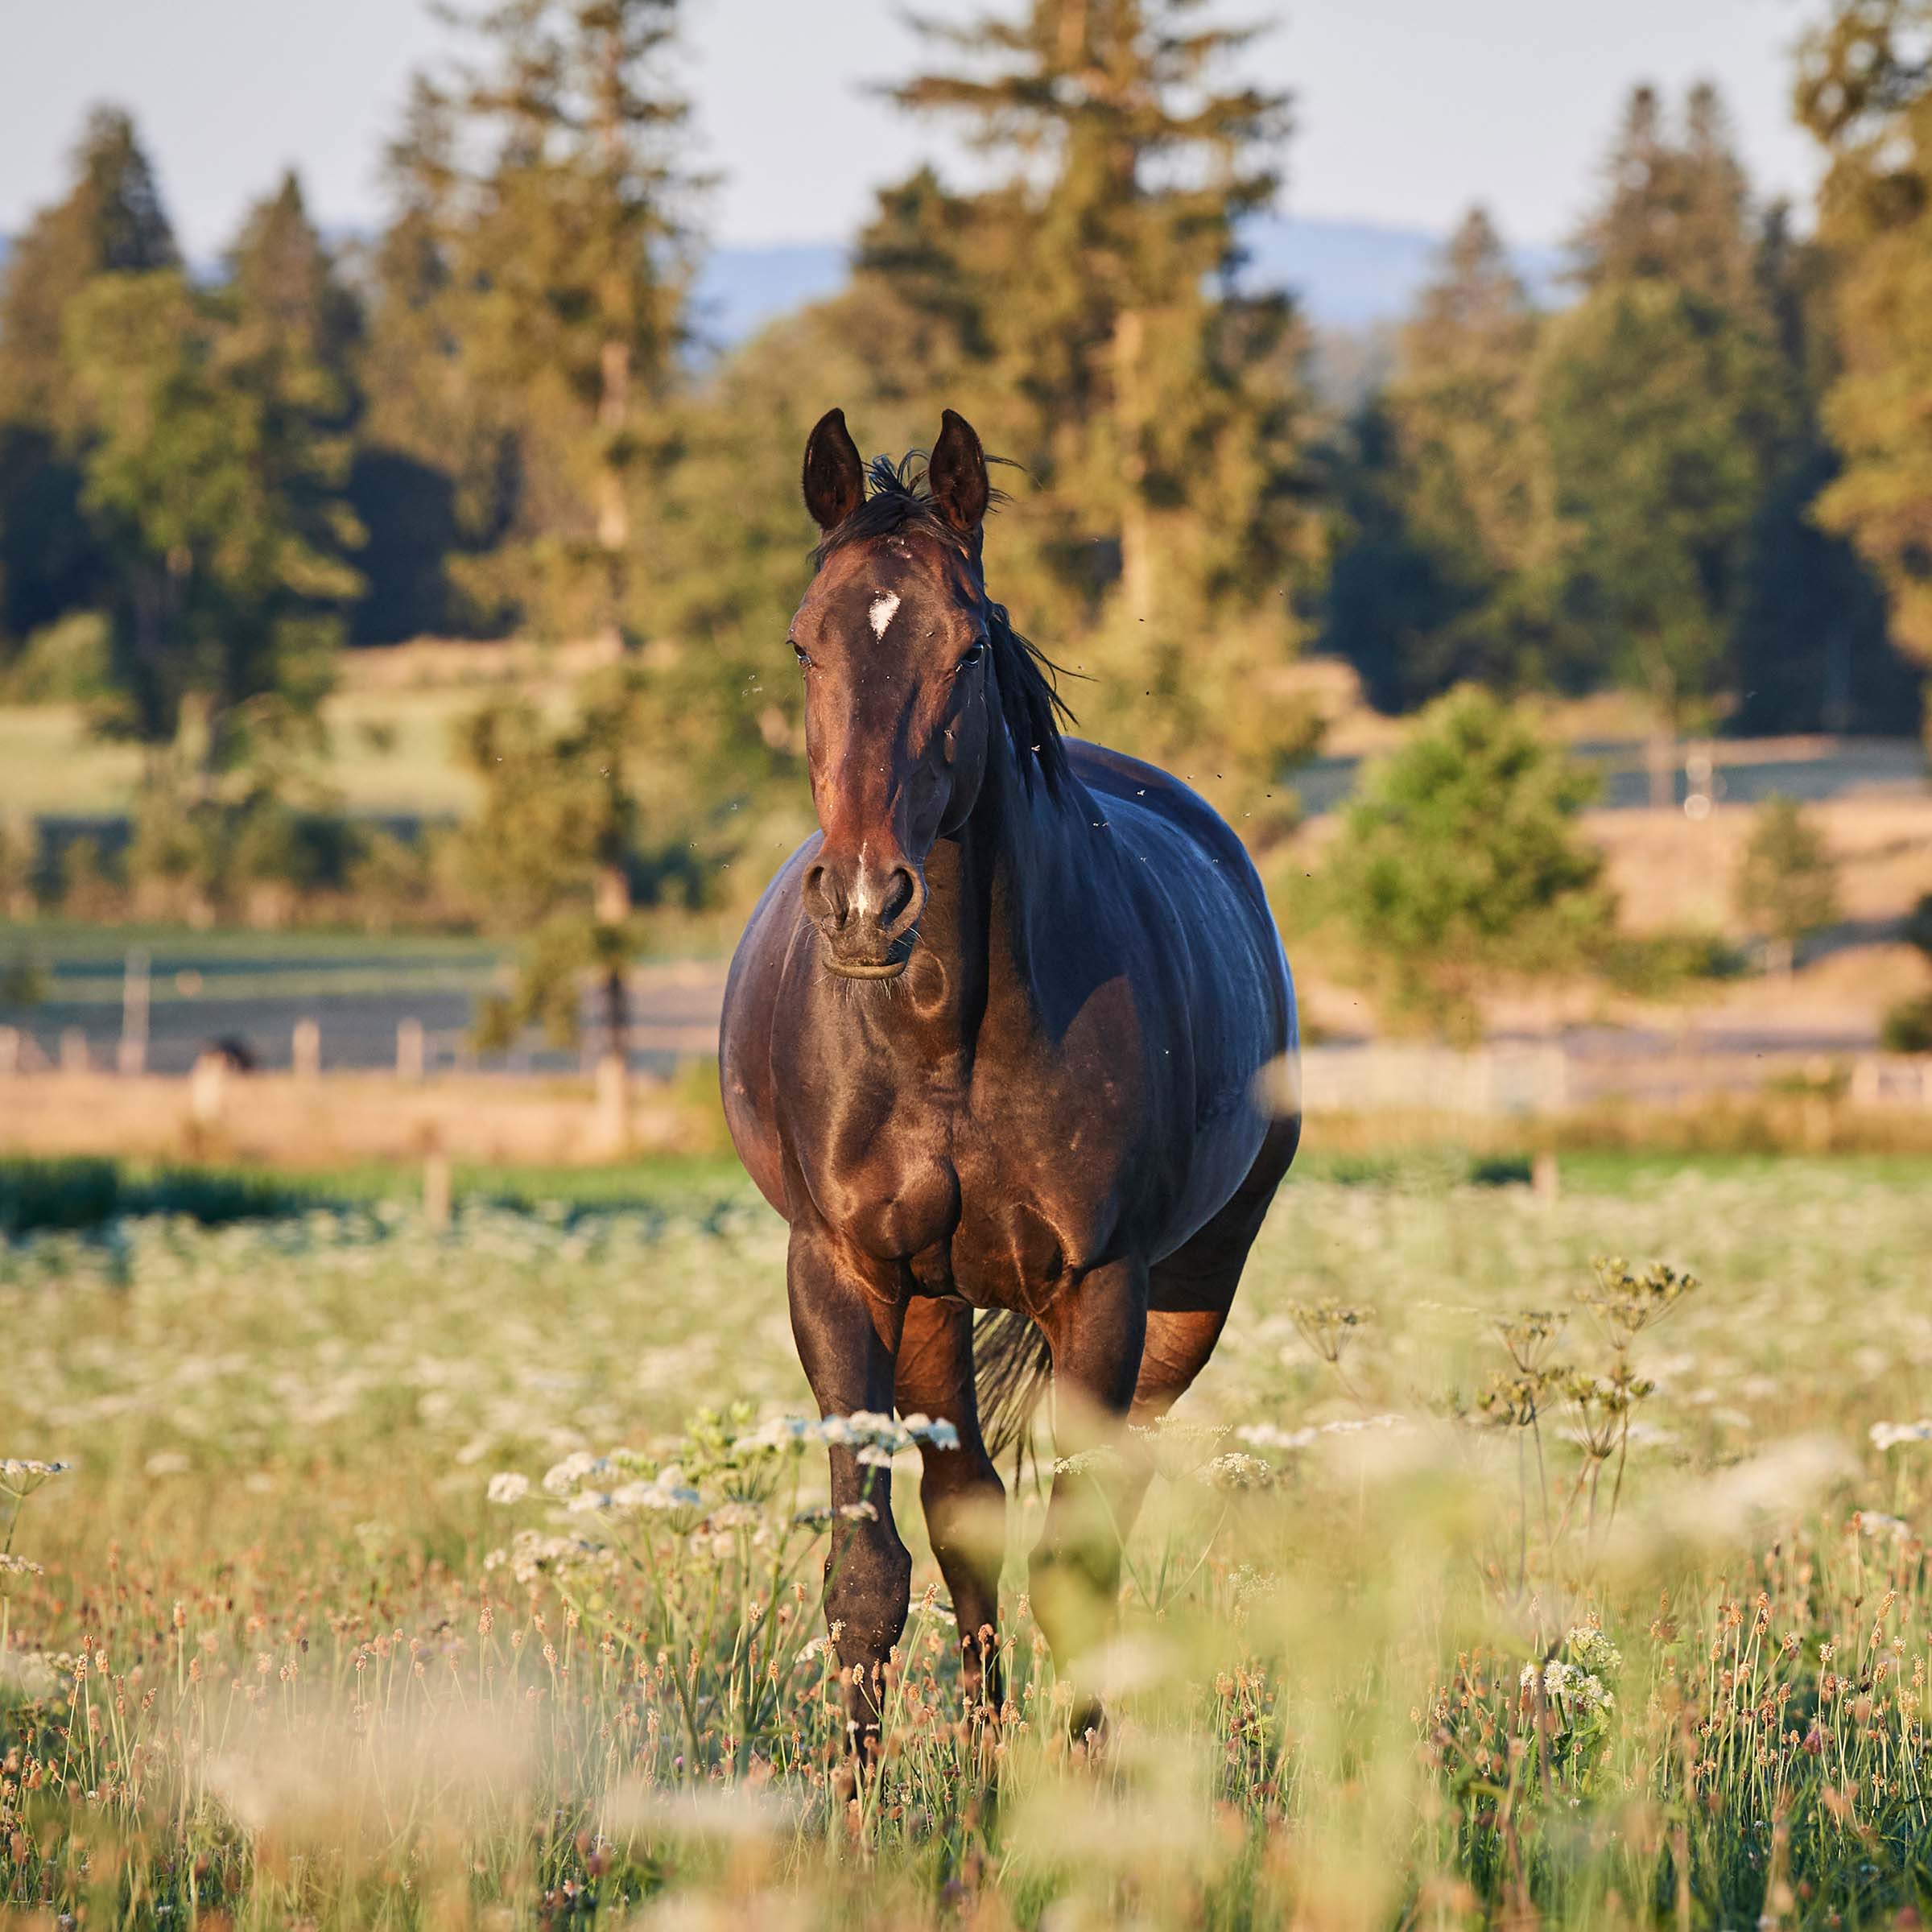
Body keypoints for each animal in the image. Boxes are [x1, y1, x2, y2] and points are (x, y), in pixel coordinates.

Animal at [719, 406, 1299, 1757]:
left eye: (968, 643)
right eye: (805, 639)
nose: (866, 902)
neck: (941, 1037)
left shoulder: (1102, 1287)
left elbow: (1077, 1573)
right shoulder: (839, 1275)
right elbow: (871, 1574)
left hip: (1186, 1301)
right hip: (931, 1308)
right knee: (965, 1519)